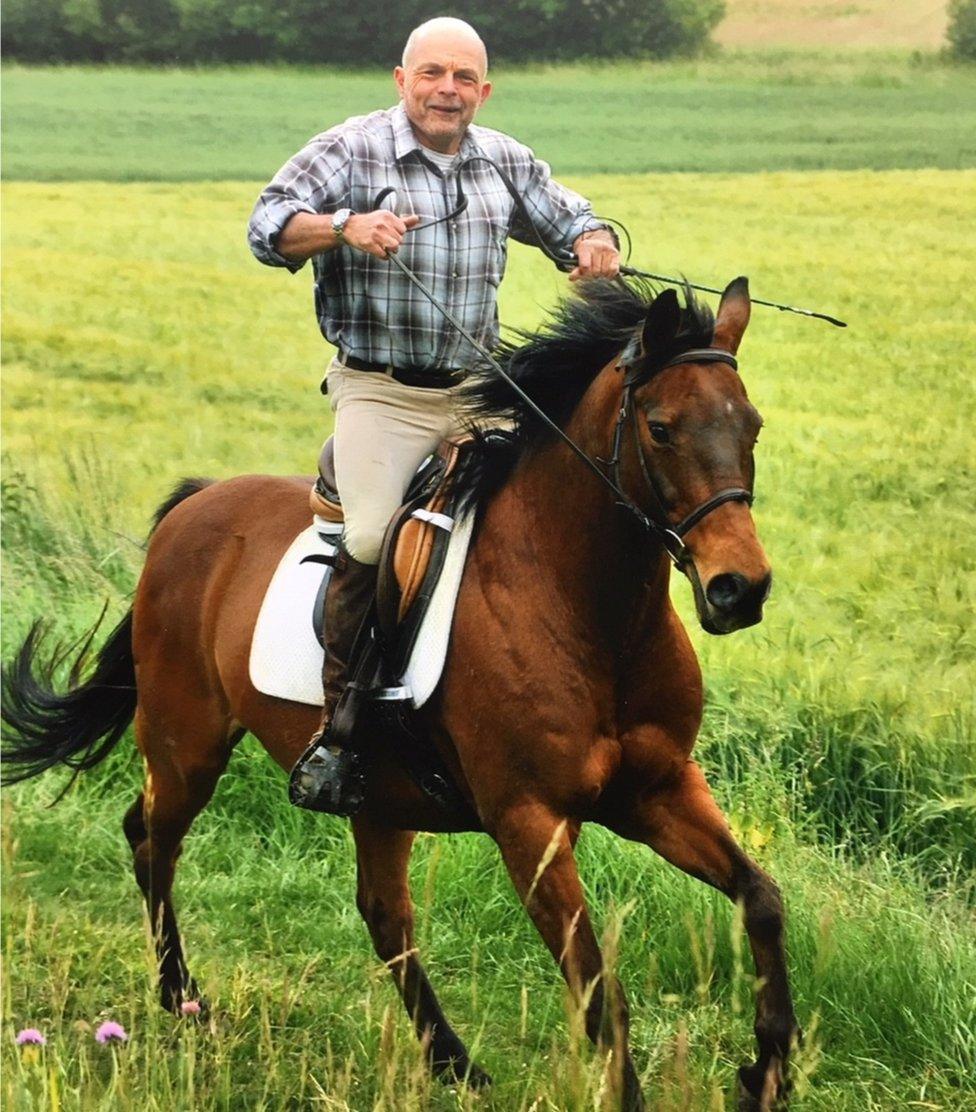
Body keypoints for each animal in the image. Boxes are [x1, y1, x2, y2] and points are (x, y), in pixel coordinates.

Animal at [3, 275, 800, 1103]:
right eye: (663, 428)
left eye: (751, 426)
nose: (738, 589)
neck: (589, 610)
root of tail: (194, 505)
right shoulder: (530, 822)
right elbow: (596, 986)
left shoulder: (659, 791)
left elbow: (762, 900)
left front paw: (767, 1070)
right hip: (185, 741)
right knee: (153, 840)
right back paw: (184, 1000)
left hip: (377, 794)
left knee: (383, 913)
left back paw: (450, 1059)